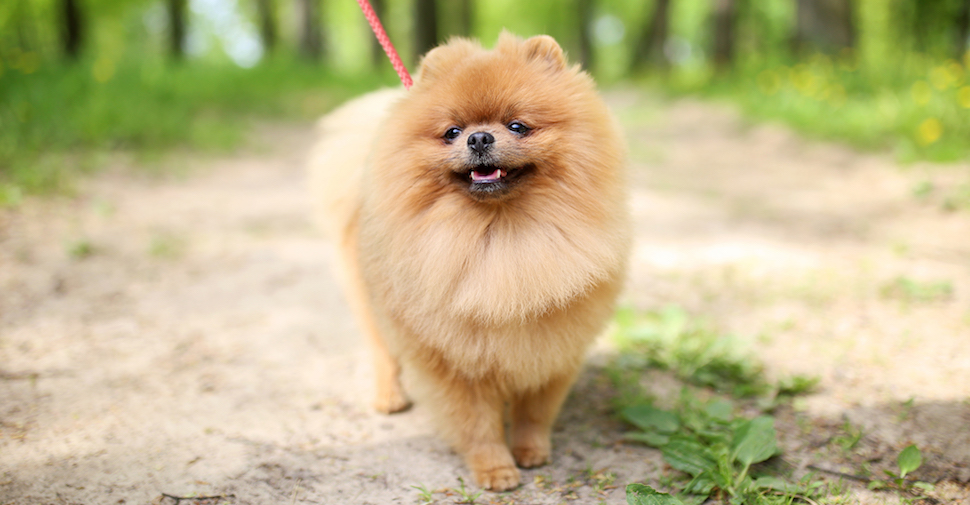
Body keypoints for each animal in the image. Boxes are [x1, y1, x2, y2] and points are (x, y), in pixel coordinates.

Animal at [306, 33, 632, 490]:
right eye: (452, 132)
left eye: (517, 126)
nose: (477, 139)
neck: (501, 239)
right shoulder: (452, 360)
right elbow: (476, 423)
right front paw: (496, 469)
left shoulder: (554, 344)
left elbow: (536, 409)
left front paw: (532, 451)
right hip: (372, 301)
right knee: (383, 351)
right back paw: (389, 396)